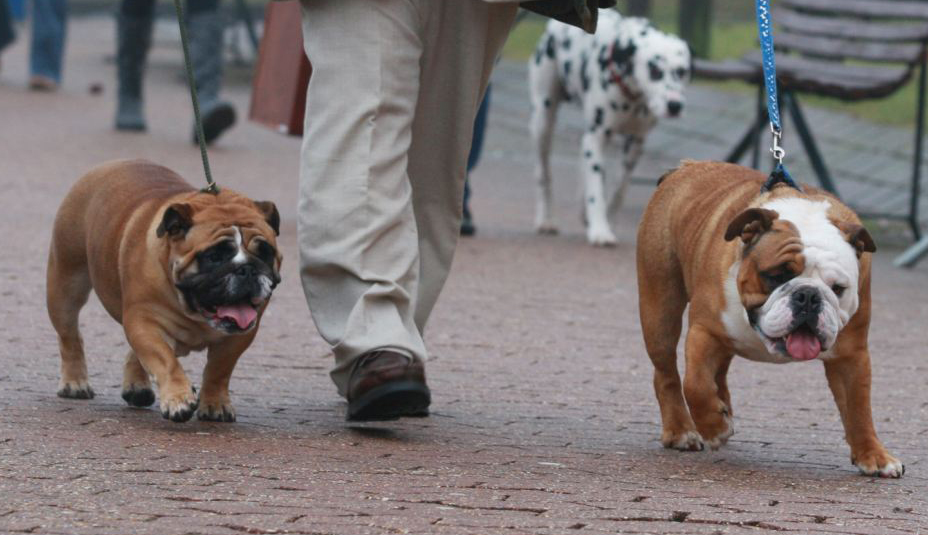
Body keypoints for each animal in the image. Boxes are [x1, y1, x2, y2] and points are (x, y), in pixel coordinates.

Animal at [528, 9, 688, 246]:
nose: (675, 105)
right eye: (654, 69)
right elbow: (596, 188)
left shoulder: (635, 144)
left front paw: (607, 220)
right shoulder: (596, 137)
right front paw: (600, 230)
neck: (632, 97)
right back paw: (546, 220)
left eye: (683, 71)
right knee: (543, 173)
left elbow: (618, 188)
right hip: (543, 122)